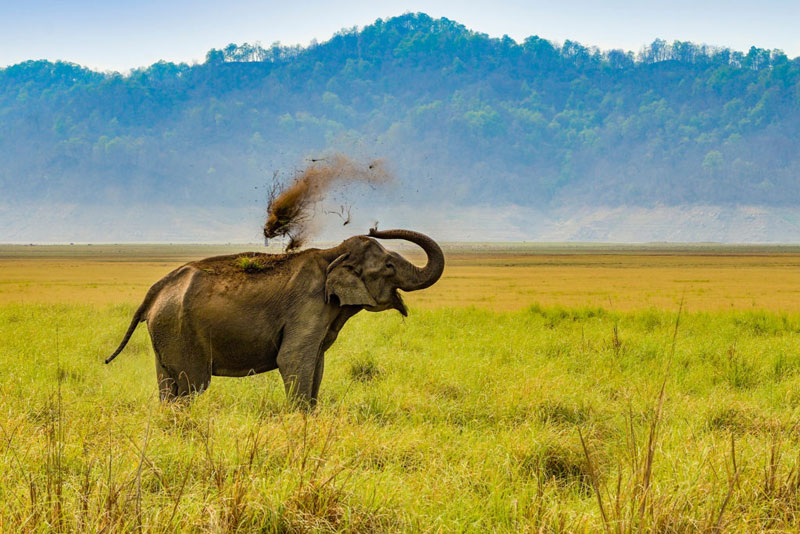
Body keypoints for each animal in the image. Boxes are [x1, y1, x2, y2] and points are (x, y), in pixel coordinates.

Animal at [105, 228, 444, 408]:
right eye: (389, 265)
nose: (375, 227)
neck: (333, 252)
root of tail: (155, 291)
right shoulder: (308, 306)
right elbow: (293, 359)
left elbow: (316, 364)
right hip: (180, 333)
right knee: (191, 388)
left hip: (165, 334)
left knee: (167, 388)